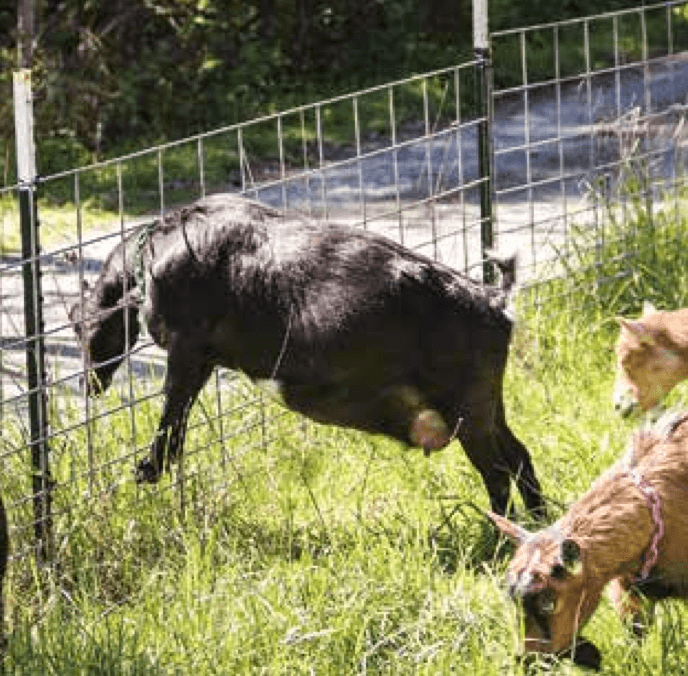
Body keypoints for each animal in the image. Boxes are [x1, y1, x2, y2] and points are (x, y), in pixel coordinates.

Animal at [69, 193, 543, 516]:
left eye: (77, 327)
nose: (87, 385)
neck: (156, 252)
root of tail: (494, 299)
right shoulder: (201, 358)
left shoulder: (188, 348)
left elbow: (172, 412)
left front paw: (146, 469)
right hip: (488, 405)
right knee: (519, 457)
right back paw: (540, 527)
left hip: (466, 412)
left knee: (497, 474)